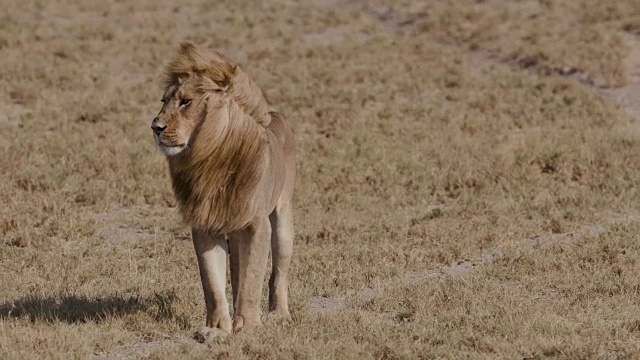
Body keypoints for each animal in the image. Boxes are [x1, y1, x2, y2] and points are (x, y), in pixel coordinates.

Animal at [151, 42, 296, 340]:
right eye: (163, 101)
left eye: (185, 101)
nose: (155, 127)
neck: (209, 157)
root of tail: (276, 116)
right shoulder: (205, 225)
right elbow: (213, 284)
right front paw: (216, 330)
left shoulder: (257, 224)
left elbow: (253, 280)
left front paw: (249, 326)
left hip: (283, 218)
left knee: (278, 270)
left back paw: (279, 314)